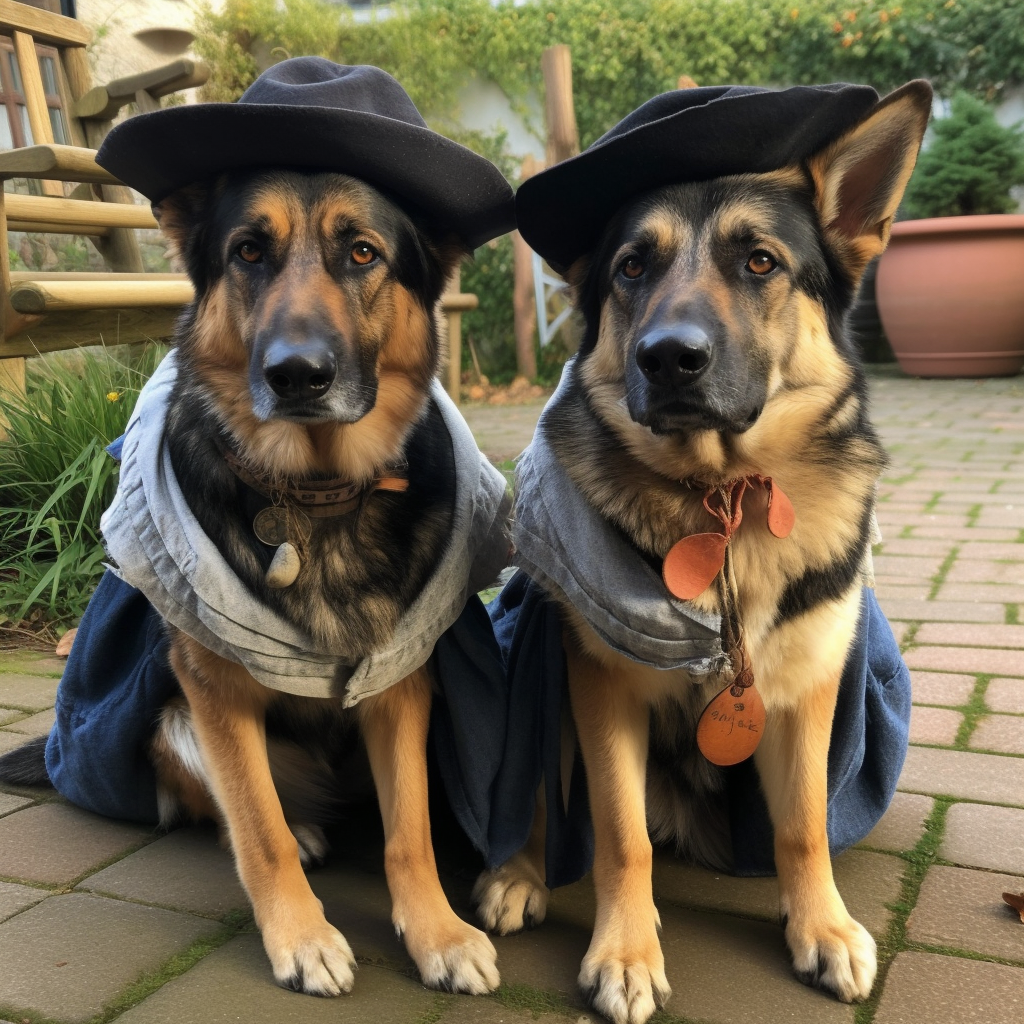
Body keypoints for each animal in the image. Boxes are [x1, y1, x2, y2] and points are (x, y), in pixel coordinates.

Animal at [475, 79, 933, 1024]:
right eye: (631, 268)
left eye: (759, 262)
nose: (669, 359)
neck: (718, 501)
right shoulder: (601, 692)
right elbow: (618, 836)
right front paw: (625, 951)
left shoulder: (806, 693)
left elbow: (803, 828)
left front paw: (822, 928)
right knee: (536, 795)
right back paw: (519, 872)